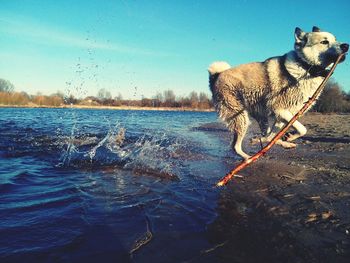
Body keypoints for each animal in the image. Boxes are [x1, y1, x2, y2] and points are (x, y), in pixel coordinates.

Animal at [208, 26, 348, 160]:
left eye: (335, 39)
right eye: (324, 42)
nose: (346, 45)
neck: (305, 67)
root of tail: (217, 75)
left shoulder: (286, 113)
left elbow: (282, 133)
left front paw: (288, 138)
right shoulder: (279, 109)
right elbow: (302, 129)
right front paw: (290, 136)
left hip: (261, 117)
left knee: (267, 136)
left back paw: (277, 143)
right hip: (240, 117)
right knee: (236, 146)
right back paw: (248, 158)